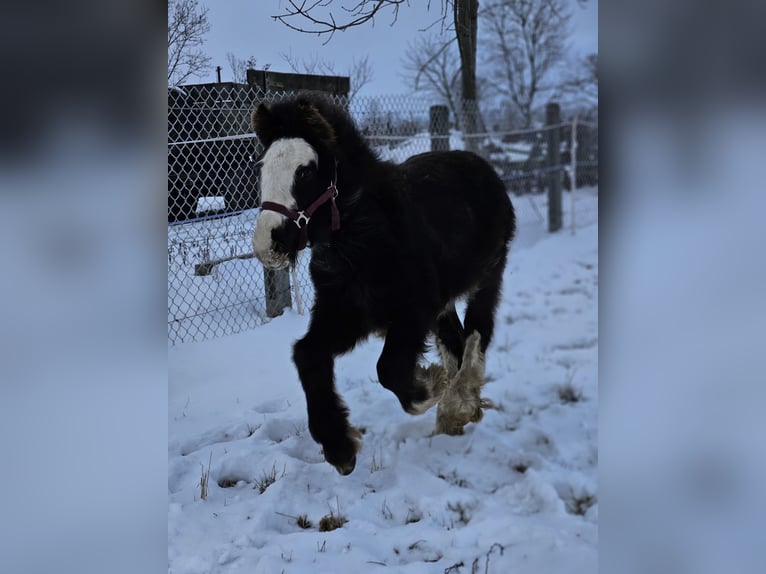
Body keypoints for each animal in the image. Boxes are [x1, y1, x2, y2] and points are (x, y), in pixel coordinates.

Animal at [252, 95, 516, 476]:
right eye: (262, 166)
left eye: (305, 170)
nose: (266, 244)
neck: (363, 241)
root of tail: (480, 164)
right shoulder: (346, 314)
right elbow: (306, 354)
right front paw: (339, 447)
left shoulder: (414, 311)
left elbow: (389, 369)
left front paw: (431, 386)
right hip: (444, 303)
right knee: (455, 340)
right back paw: (454, 415)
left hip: (488, 275)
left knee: (477, 333)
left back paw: (460, 403)